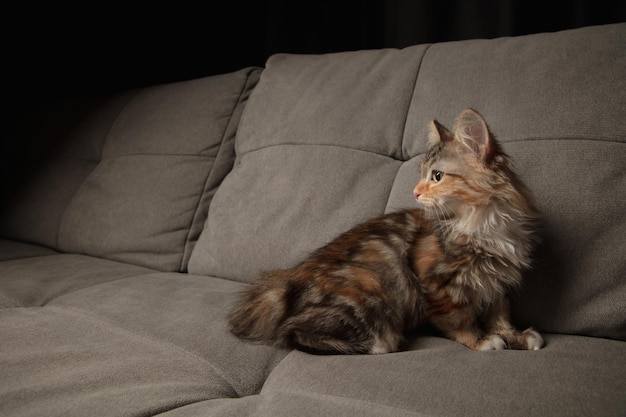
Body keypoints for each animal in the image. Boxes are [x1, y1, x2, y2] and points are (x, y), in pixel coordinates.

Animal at [228, 109, 540, 352]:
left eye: (437, 176)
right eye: (422, 175)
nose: (415, 192)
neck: (482, 222)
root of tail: (289, 280)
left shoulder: (498, 282)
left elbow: (500, 316)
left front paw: (516, 336)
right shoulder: (437, 281)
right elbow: (460, 319)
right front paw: (482, 340)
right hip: (370, 288)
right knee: (292, 332)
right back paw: (377, 344)